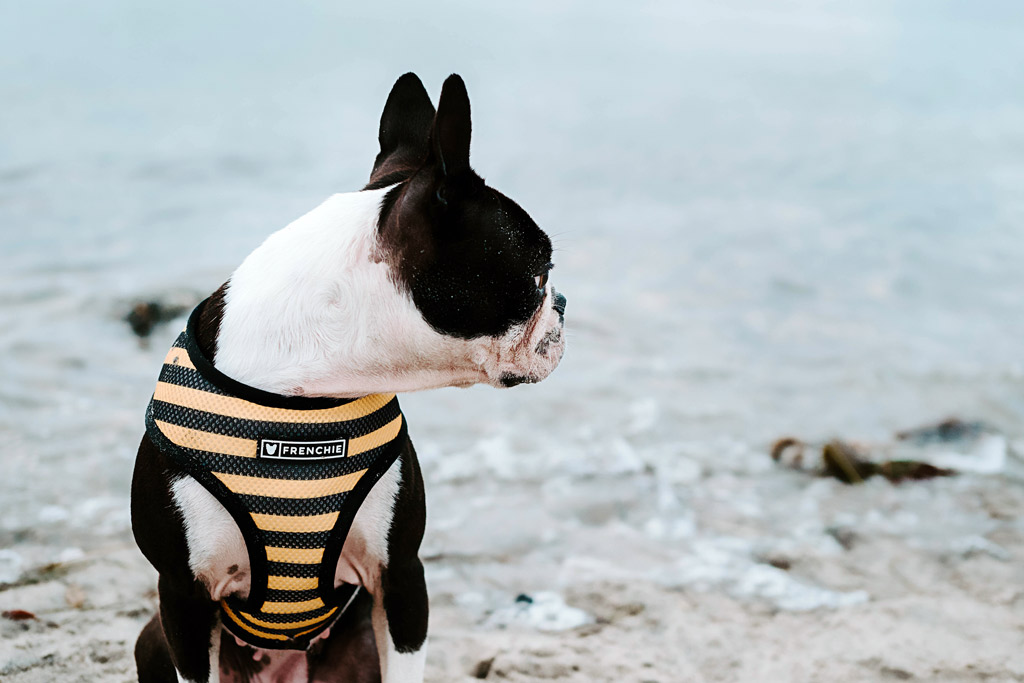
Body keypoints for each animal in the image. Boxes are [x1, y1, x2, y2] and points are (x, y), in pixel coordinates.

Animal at [129, 70, 569, 683]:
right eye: (539, 275)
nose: (564, 304)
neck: (306, 384)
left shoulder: (400, 575)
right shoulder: (182, 598)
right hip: (155, 635)